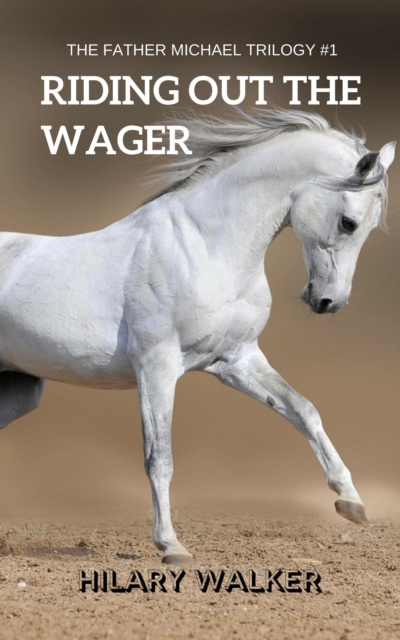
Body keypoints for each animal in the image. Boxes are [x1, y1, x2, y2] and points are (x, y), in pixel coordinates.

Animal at [0, 109, 395, 564]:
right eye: (349, 222)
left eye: (370, 227)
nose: (329, 301)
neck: (207, 248)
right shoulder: (157, 367)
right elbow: (160, 457)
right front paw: (170, 546)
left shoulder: (236, 360)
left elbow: (303, 410)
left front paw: (351, 502)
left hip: (20, 390)